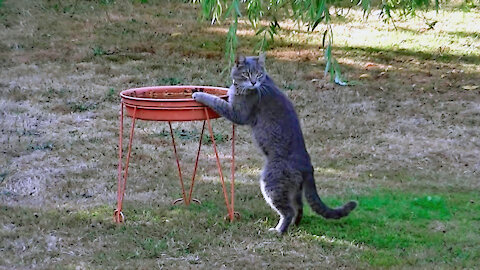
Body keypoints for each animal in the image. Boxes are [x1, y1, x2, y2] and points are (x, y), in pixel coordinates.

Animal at [191, 54, 356, 234]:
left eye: (258, 74)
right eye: (247, 73)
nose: (253, 82)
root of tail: (307, 166)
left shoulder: (237, 113)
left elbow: (216, 101)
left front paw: (199, 94)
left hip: (272, 182)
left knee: (288, 211)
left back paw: (278, 230)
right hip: (293, 189)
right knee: (299, 208)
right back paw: (294, 226)